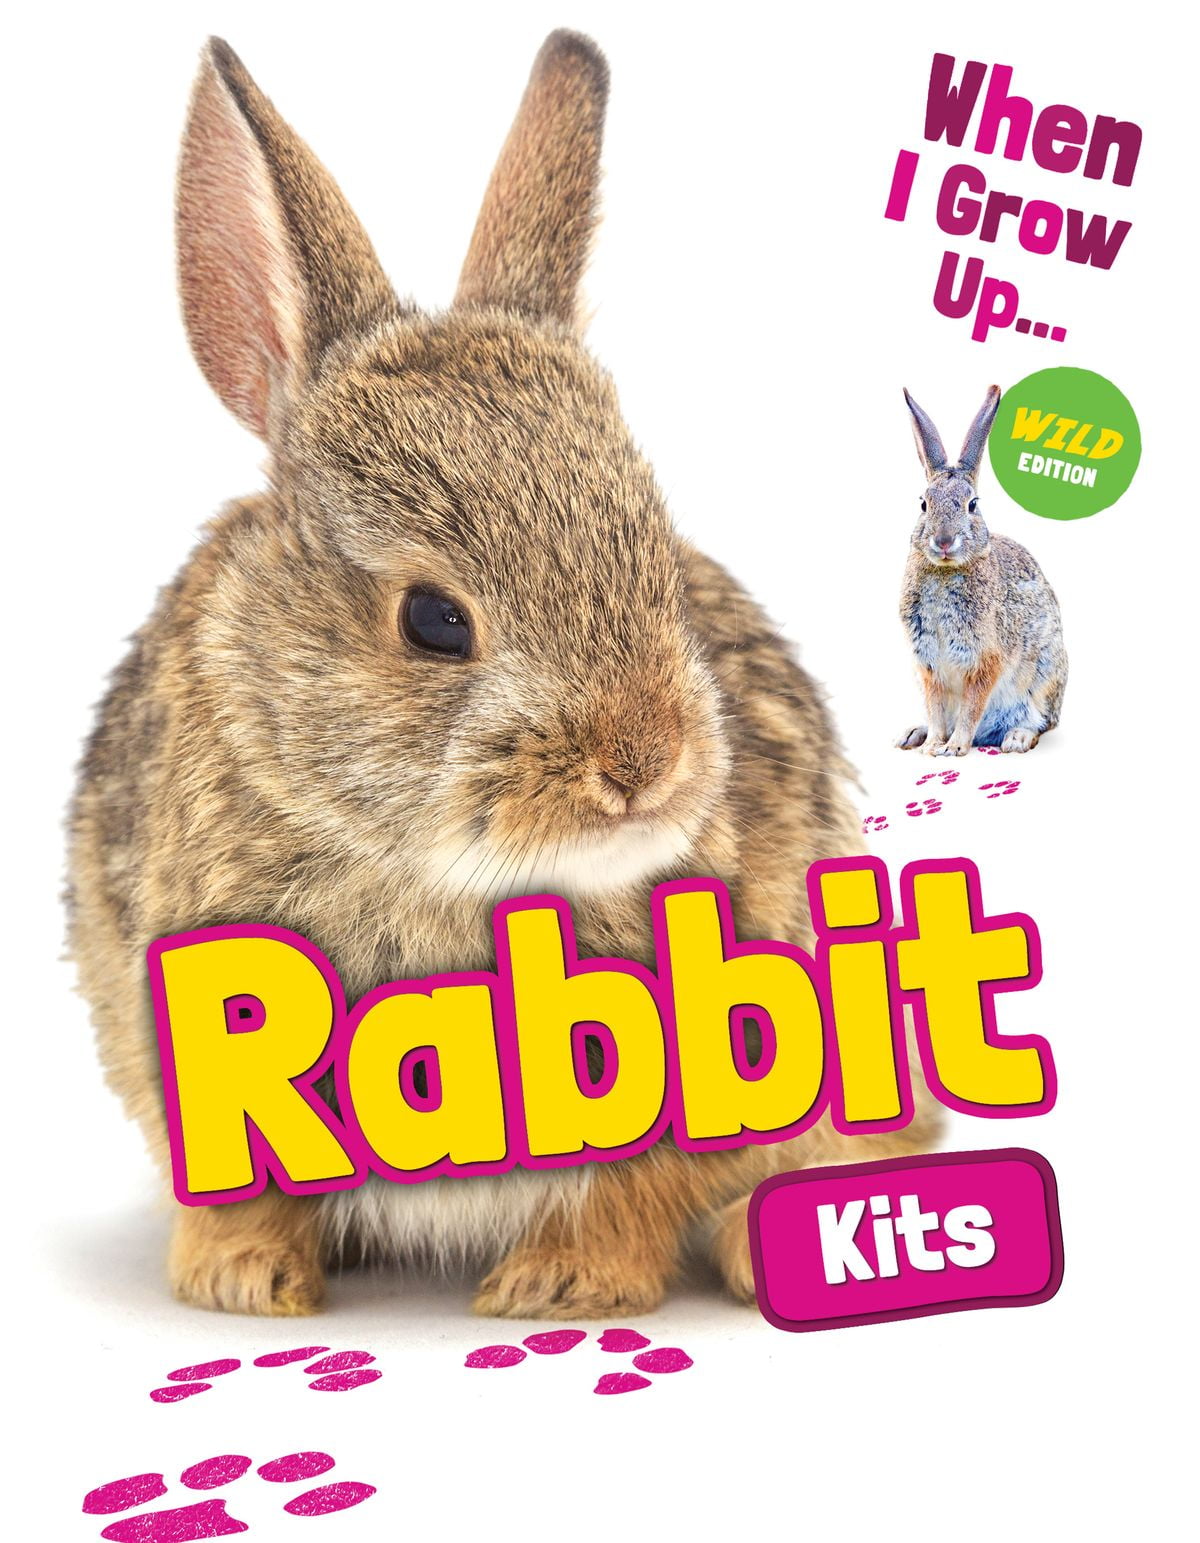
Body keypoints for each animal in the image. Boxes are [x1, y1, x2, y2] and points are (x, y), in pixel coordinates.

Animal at [68, 31, 941, 1320]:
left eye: (657, 556)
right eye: (435, 621)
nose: (645, 763)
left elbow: (626, 1191)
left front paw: (559, 1286)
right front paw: (244, 1282)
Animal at [896, 385, 1068, 757]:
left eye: (972, 505)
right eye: (923, 504)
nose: (944, 540)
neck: (945, 571)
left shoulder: (986, 660)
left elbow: (972, 707)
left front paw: (953, 748)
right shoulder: (928, 664)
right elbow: (937, 708)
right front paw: (933, 745)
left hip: (1044, 679)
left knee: (1039, 723)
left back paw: (1016, 739)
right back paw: (913, 734)